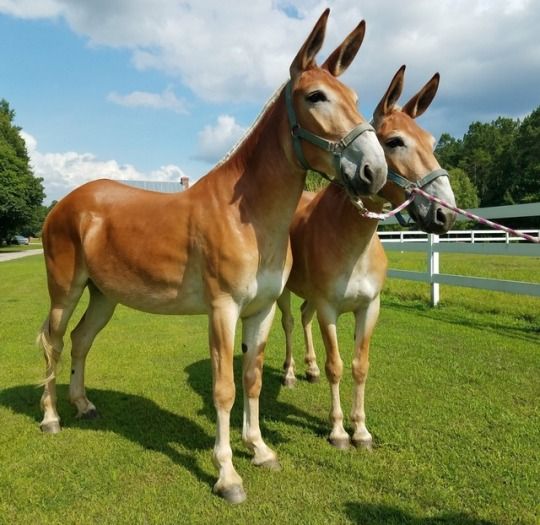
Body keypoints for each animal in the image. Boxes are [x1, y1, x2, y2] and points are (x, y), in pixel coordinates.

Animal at [35, 11, 386, 504]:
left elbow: (252, 378)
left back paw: (83, 404)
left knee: (81, 341)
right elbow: (223, 389)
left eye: (356, 98)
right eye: (316, 96)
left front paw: (260, 450)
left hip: (104, 296)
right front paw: (228, 475)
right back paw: (50, 418)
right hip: (65, 291)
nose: (375, 170)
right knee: (54, 342)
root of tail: (64, 205)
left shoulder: (259, 311)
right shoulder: (223, 310)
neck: (248, 216)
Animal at [278, 65, 456, 448]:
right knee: (288, 322)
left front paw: (360, 429)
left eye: (432, 141)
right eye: (395, 142)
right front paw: (337, 430)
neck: (351, 242)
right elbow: (336, 366)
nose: (445, 213)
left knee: (303, 318)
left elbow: (360, 366)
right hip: (284, 293)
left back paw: (309, 368)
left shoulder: (369, 308)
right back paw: (290, 373)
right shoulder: (329, 308)